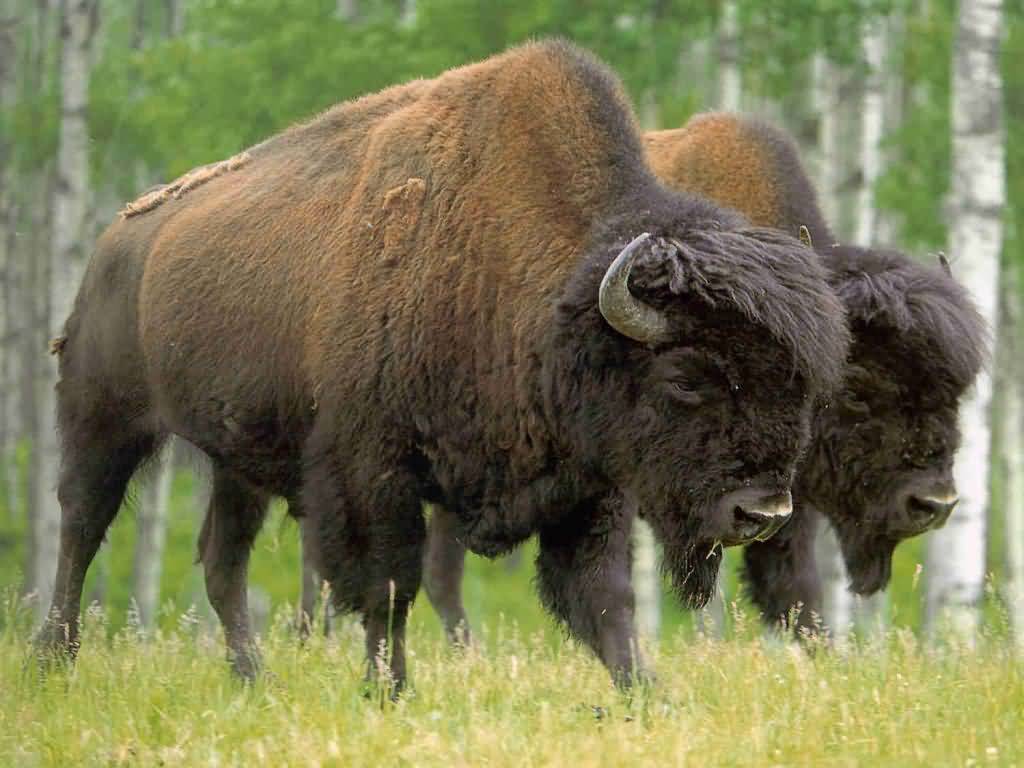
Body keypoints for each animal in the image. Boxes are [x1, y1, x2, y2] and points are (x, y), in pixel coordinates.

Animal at [35, 43, 849, 689]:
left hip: (238, 459)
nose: (763, 513)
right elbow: (390, 585)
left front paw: (646, 697)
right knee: (82, 524)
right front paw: (388, 692)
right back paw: (56, 658)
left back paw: (251, 678)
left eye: (803, 385)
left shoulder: (586, 491)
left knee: (219, 559)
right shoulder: (372, 472)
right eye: (685, 378)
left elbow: (604, 602)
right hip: (104, 416)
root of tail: (115, 240)